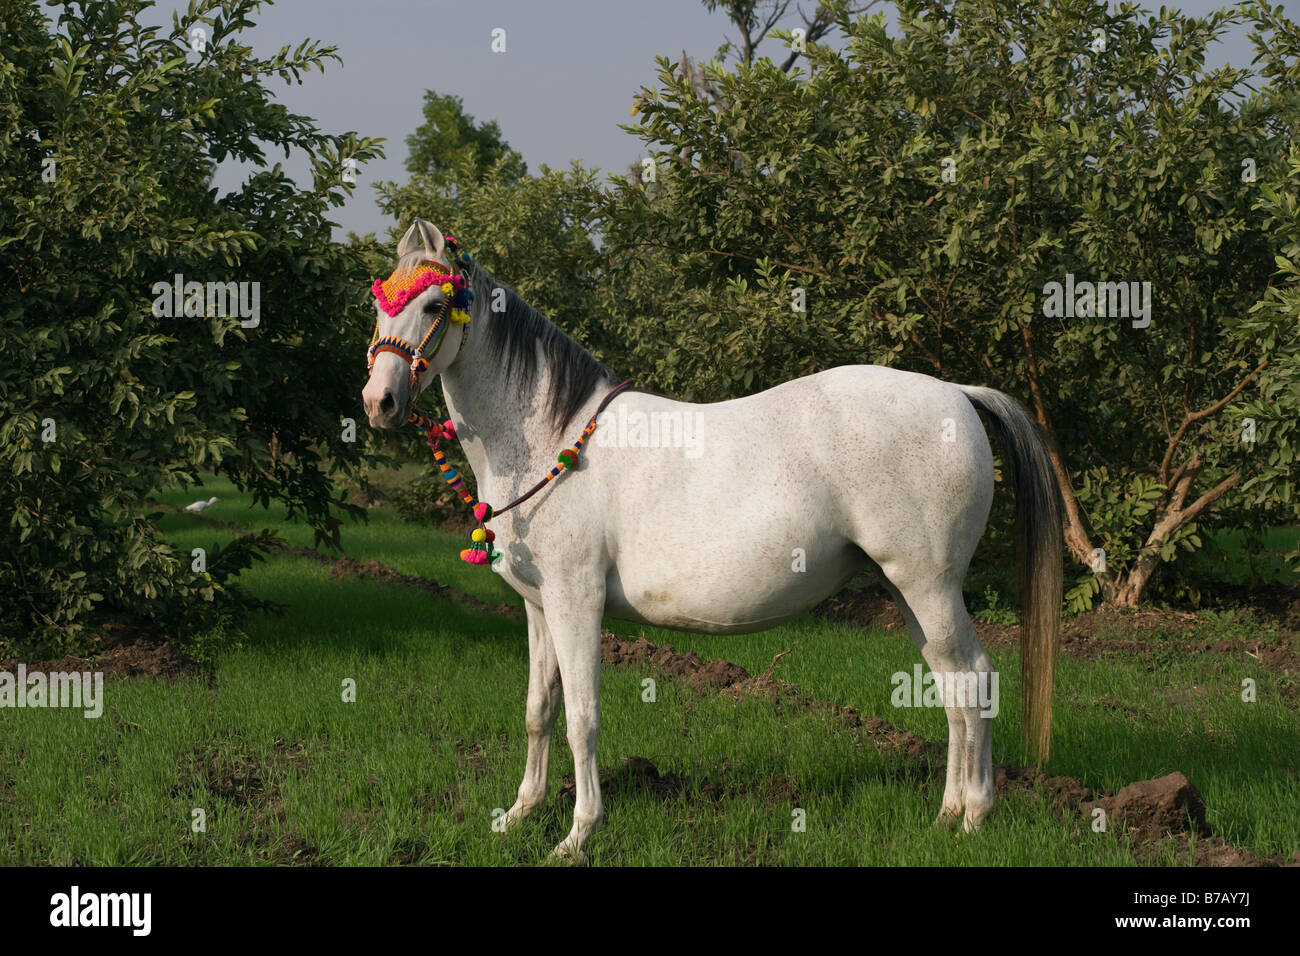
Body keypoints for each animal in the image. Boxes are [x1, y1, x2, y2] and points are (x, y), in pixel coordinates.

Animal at [361, 219, 1063, 861]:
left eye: (433, 305)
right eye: (378, 304)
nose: (378, 402)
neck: (551, 439)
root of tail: (957, 394)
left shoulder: (576, 603)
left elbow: (582, 717)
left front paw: (578, 836)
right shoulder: (539, 606)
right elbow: (540, 708)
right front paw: (519, 814)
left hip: (930, 586)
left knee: (974, 678)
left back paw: (975, 817)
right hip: (909, 591)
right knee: (951, 688)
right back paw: (946, 816)